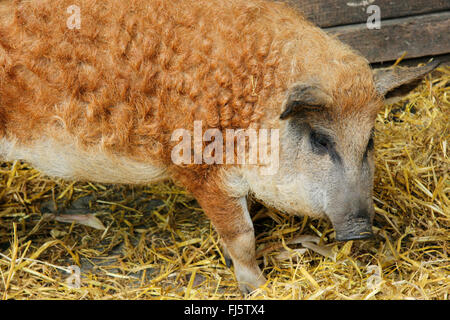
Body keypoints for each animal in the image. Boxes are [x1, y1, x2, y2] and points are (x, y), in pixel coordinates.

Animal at [0, 0, 436, 292]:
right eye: (320, 139)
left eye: (370, 139)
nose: (361, 230)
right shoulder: (201, 168)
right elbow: (242, 234)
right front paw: (259, 287)